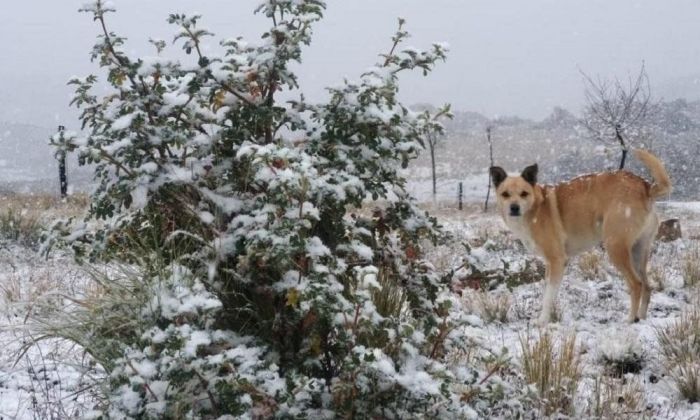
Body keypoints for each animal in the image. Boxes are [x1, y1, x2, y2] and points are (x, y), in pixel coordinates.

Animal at [490, 151, 668, 324]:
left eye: (524, 194)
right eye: (505, 194)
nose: (514, 208)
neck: (536, 208)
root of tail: (645, 186)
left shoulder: (557, 260)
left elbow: (548, 296)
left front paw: (542, 321)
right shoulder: (550, 265)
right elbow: (548, 292)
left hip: (615, 247)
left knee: (636, 284)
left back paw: (631, 319)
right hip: (638, 251)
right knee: (647, 286)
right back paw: (642, 317)